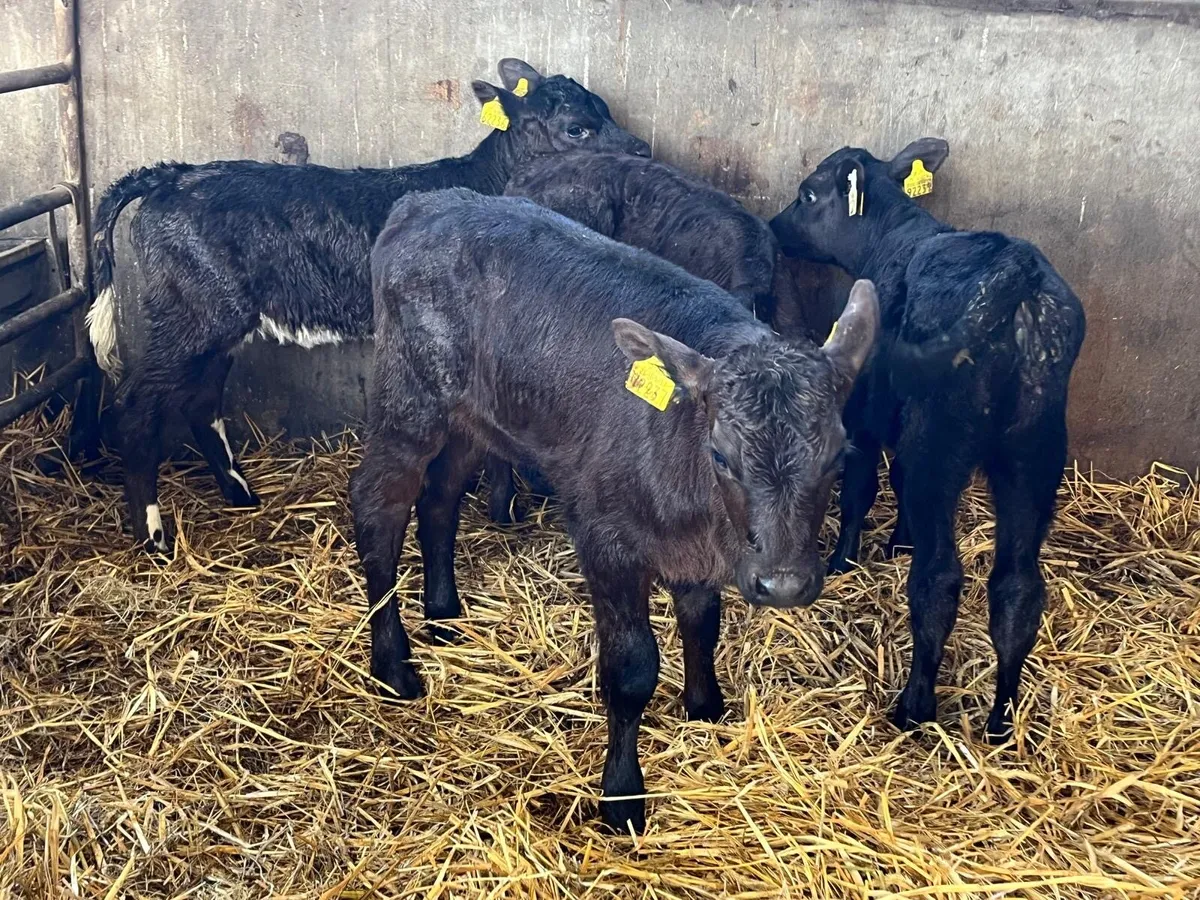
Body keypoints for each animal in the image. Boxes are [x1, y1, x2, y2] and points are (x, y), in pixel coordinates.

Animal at [84, 58, 649, 553]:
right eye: (577, 129)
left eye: (606, 108)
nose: (643, 150)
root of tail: (172, 176)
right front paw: (504, 510)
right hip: (192, 314)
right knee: (136, 406)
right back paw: (154, 537)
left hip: (216, 320)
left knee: (201, 400)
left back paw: (241, 496)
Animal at [354, 186, 879, 833]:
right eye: (721, 455)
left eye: (837, 454)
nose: (783, 584)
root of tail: (426, 201)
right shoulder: (605, 539)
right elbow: (631, 671)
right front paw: (623, 796)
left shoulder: (693, 551)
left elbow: (702, 623)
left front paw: (705, 706)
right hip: (408, 403)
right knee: (378, 508)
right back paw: (394, 664)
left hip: (472, 418)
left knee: (440, 499)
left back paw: (444, 613)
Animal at [769, 137, 1086, 742]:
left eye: (809, 193)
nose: (775, 226)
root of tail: (1017, 273)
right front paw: (899, 542)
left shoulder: (866, 411)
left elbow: (861, 489)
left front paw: (845, 560)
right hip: (1033, 456)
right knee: (1017, 588)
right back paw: (1002, 719)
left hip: (941, 442)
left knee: (939, 579)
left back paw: (915, 704)